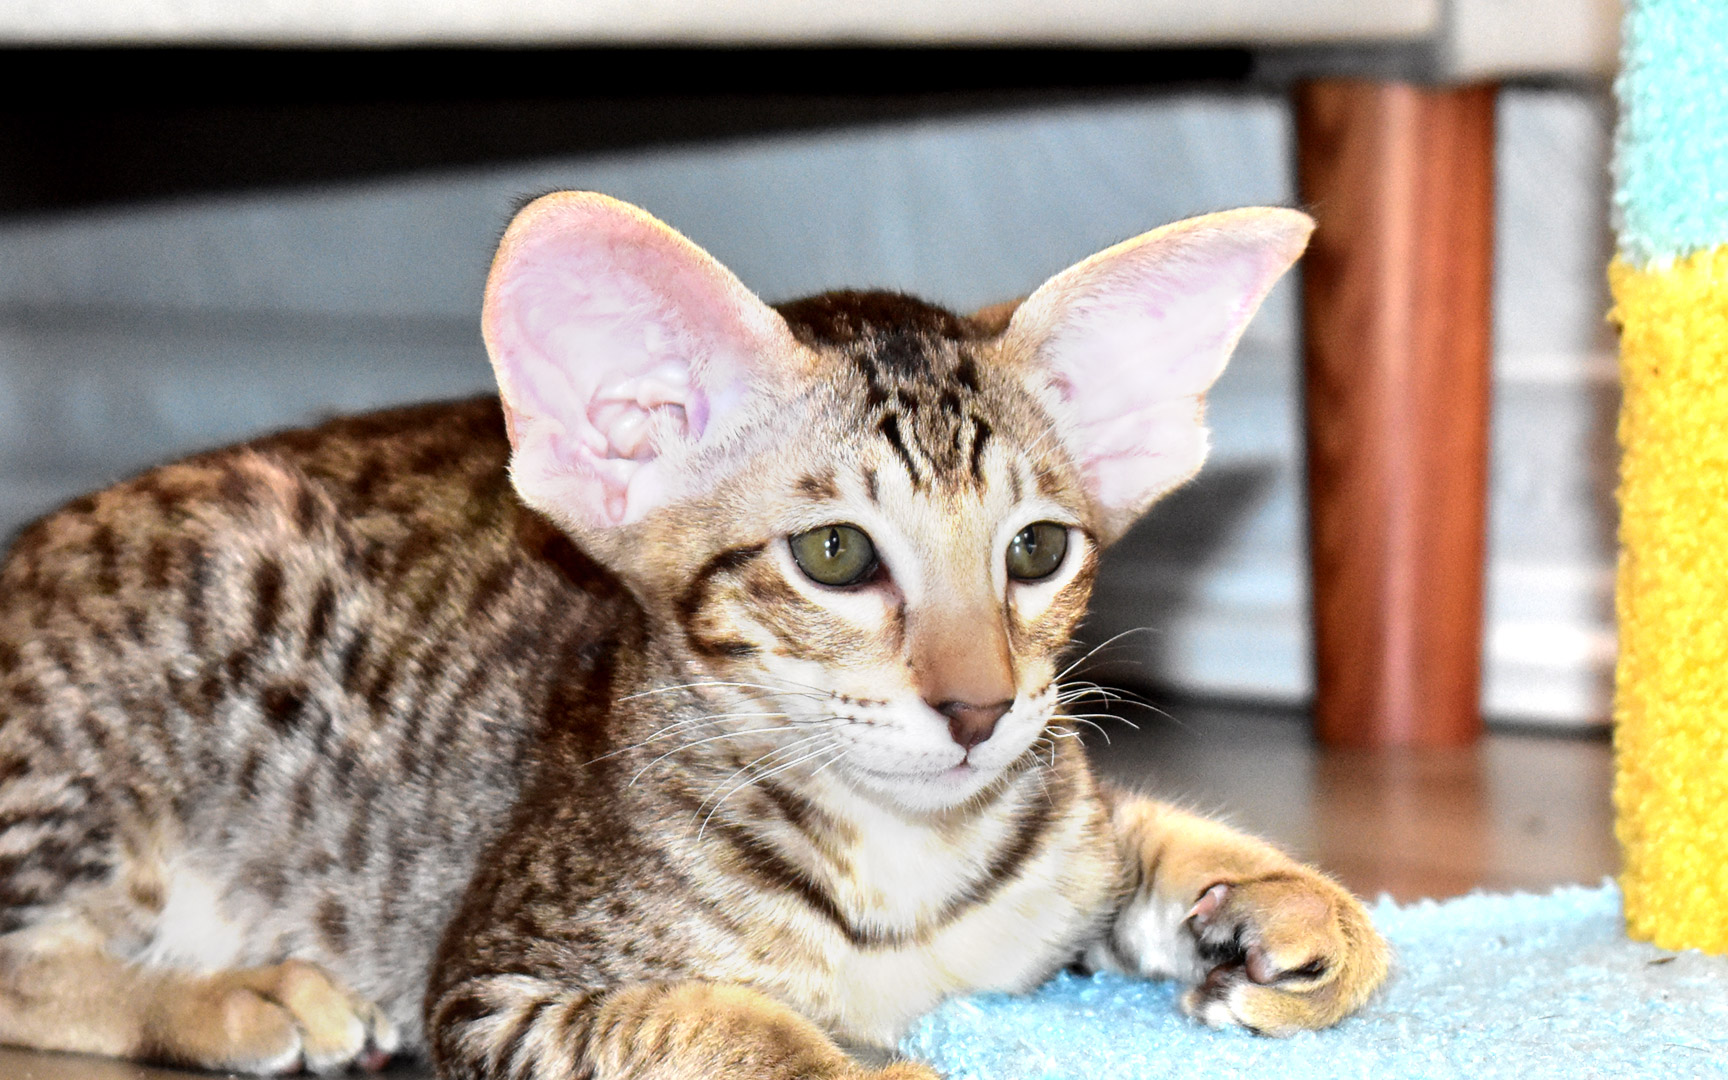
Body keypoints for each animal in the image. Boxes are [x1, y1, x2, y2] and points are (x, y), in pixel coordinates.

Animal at [0, 193, 1382, 1078]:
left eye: (1036, 551)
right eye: (836, 557)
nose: (980, 707)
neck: (901, 861)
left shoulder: (1053, 824)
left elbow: (1124, 832)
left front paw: (1288, 904)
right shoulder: (497, 991)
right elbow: (716, 1024)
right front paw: (858, 1066)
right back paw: (235, 998)